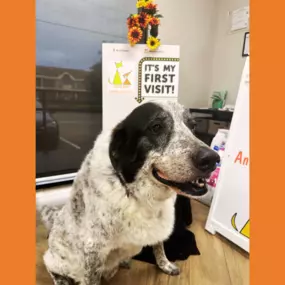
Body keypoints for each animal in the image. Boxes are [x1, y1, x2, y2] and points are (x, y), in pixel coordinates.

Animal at [39, 101, 217, 284]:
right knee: (52, 268)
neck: (134, 192)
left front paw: (165, 265)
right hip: (57, 261)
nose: (212, 159)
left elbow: (159, 247)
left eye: (193, 126)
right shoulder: (92, 250)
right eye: (156, 127)